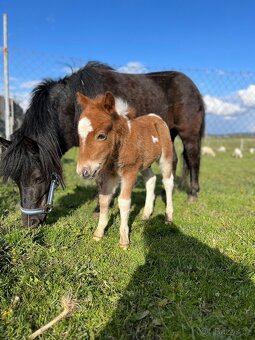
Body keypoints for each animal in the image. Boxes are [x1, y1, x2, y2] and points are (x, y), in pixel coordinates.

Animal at [76, 91, 174, 248]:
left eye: (101, 136)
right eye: (79, 135)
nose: (83, 171)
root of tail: (155, 117)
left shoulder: (130, 172)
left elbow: (123, 202)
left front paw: (124, 240)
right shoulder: (109, 174)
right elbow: (104, 199)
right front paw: (98, 233)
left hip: (165, 157)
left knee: (168, 181)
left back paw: (168, 217)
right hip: (145, 163)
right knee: (151, 179)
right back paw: (146, 214)